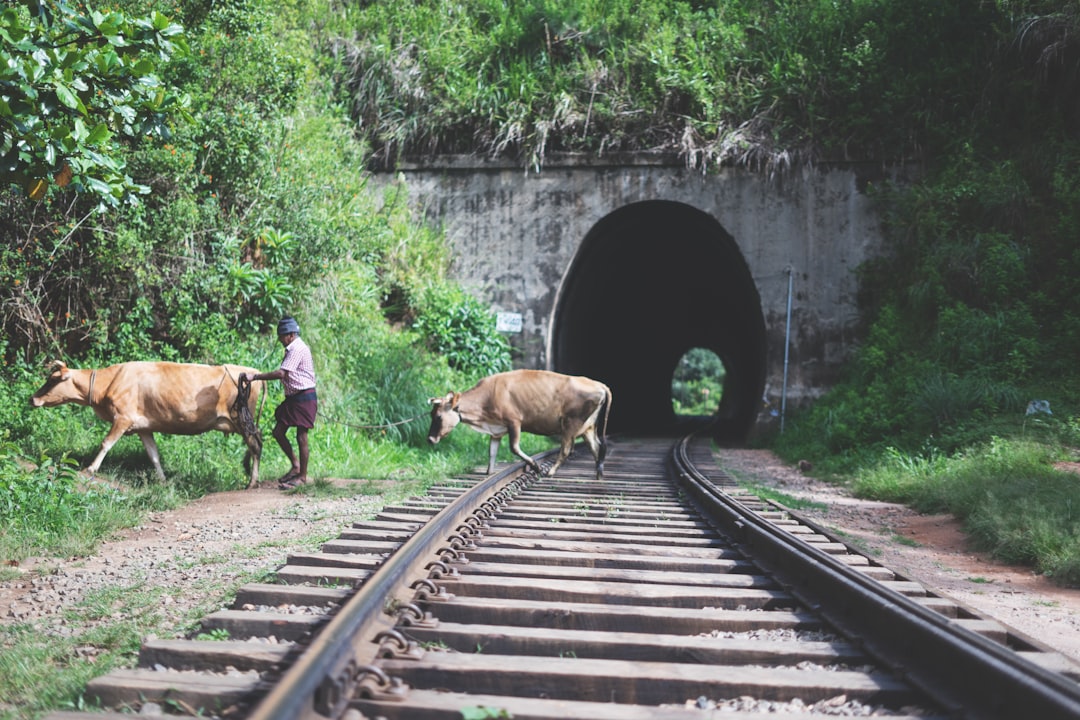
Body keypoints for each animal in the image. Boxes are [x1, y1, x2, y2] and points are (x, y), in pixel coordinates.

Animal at [30, 362, 266, 487]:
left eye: (52, 379)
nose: (32, 399)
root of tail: (252, 372)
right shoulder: (143, 427)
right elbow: (153, 455)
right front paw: (162, 480)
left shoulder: (122, 418)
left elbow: (106, 443)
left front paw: (91, 468)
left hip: (242, 420)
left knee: (256, 447)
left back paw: (252, 482)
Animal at [425, 371, 613, 479]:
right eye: (431, 414)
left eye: (439, 416)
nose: (430, 439)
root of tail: (598, 384)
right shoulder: (496, 429)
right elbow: (492, 451)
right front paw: (489, 472)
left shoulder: (514, 421)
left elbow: (514, 448)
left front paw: (535, 466)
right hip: (588, 427)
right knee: (596, 447)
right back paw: (599, 473)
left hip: (571, 423)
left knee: (567, 449)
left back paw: (551, 471)